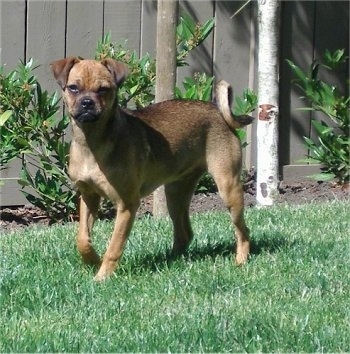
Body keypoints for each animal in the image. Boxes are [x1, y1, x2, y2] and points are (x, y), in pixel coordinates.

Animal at [50, 56, 253, 280]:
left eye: (103, 90)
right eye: (73, 88)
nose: (87, 102)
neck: (92, 143)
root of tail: (218, 112)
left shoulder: (127, 204)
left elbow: (114, 246)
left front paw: (102, 276)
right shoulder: (89, 197)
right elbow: (82, 238)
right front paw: (93, 259)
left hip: (228, 187)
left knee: (243, 231)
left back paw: (240, 260)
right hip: (175, 193)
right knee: (184, 233)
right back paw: (171, 260)